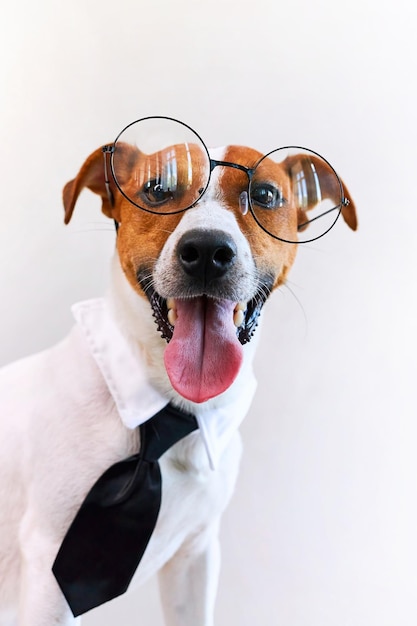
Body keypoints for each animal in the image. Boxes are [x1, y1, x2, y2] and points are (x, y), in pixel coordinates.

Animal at [0, 118, 358, 624]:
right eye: (158, 189)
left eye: (265, 195)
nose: (207, 250)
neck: (175, 410)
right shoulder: (48, 580)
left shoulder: (195, 556)